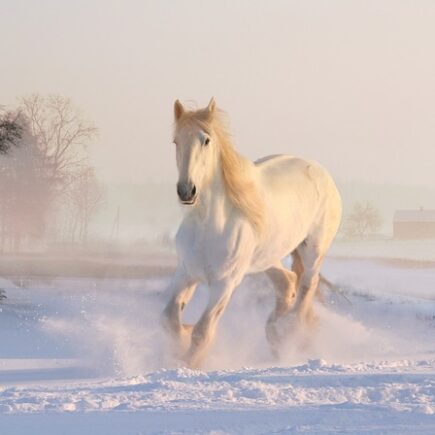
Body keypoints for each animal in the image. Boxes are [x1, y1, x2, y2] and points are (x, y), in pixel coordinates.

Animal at [162, 99, 342, 368]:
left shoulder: (225, 284)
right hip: (267, 258)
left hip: (313, 250)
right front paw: (182, 338)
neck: (208, 226)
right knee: (288, 282)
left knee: (307, 285)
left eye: (206, 140)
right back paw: (275, 332)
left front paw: (189, 363)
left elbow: (202, 332)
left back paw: (288, 332)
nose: (186, 191)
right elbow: (170, 320)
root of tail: (321, 172)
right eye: (176, 141)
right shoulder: (185, 273)